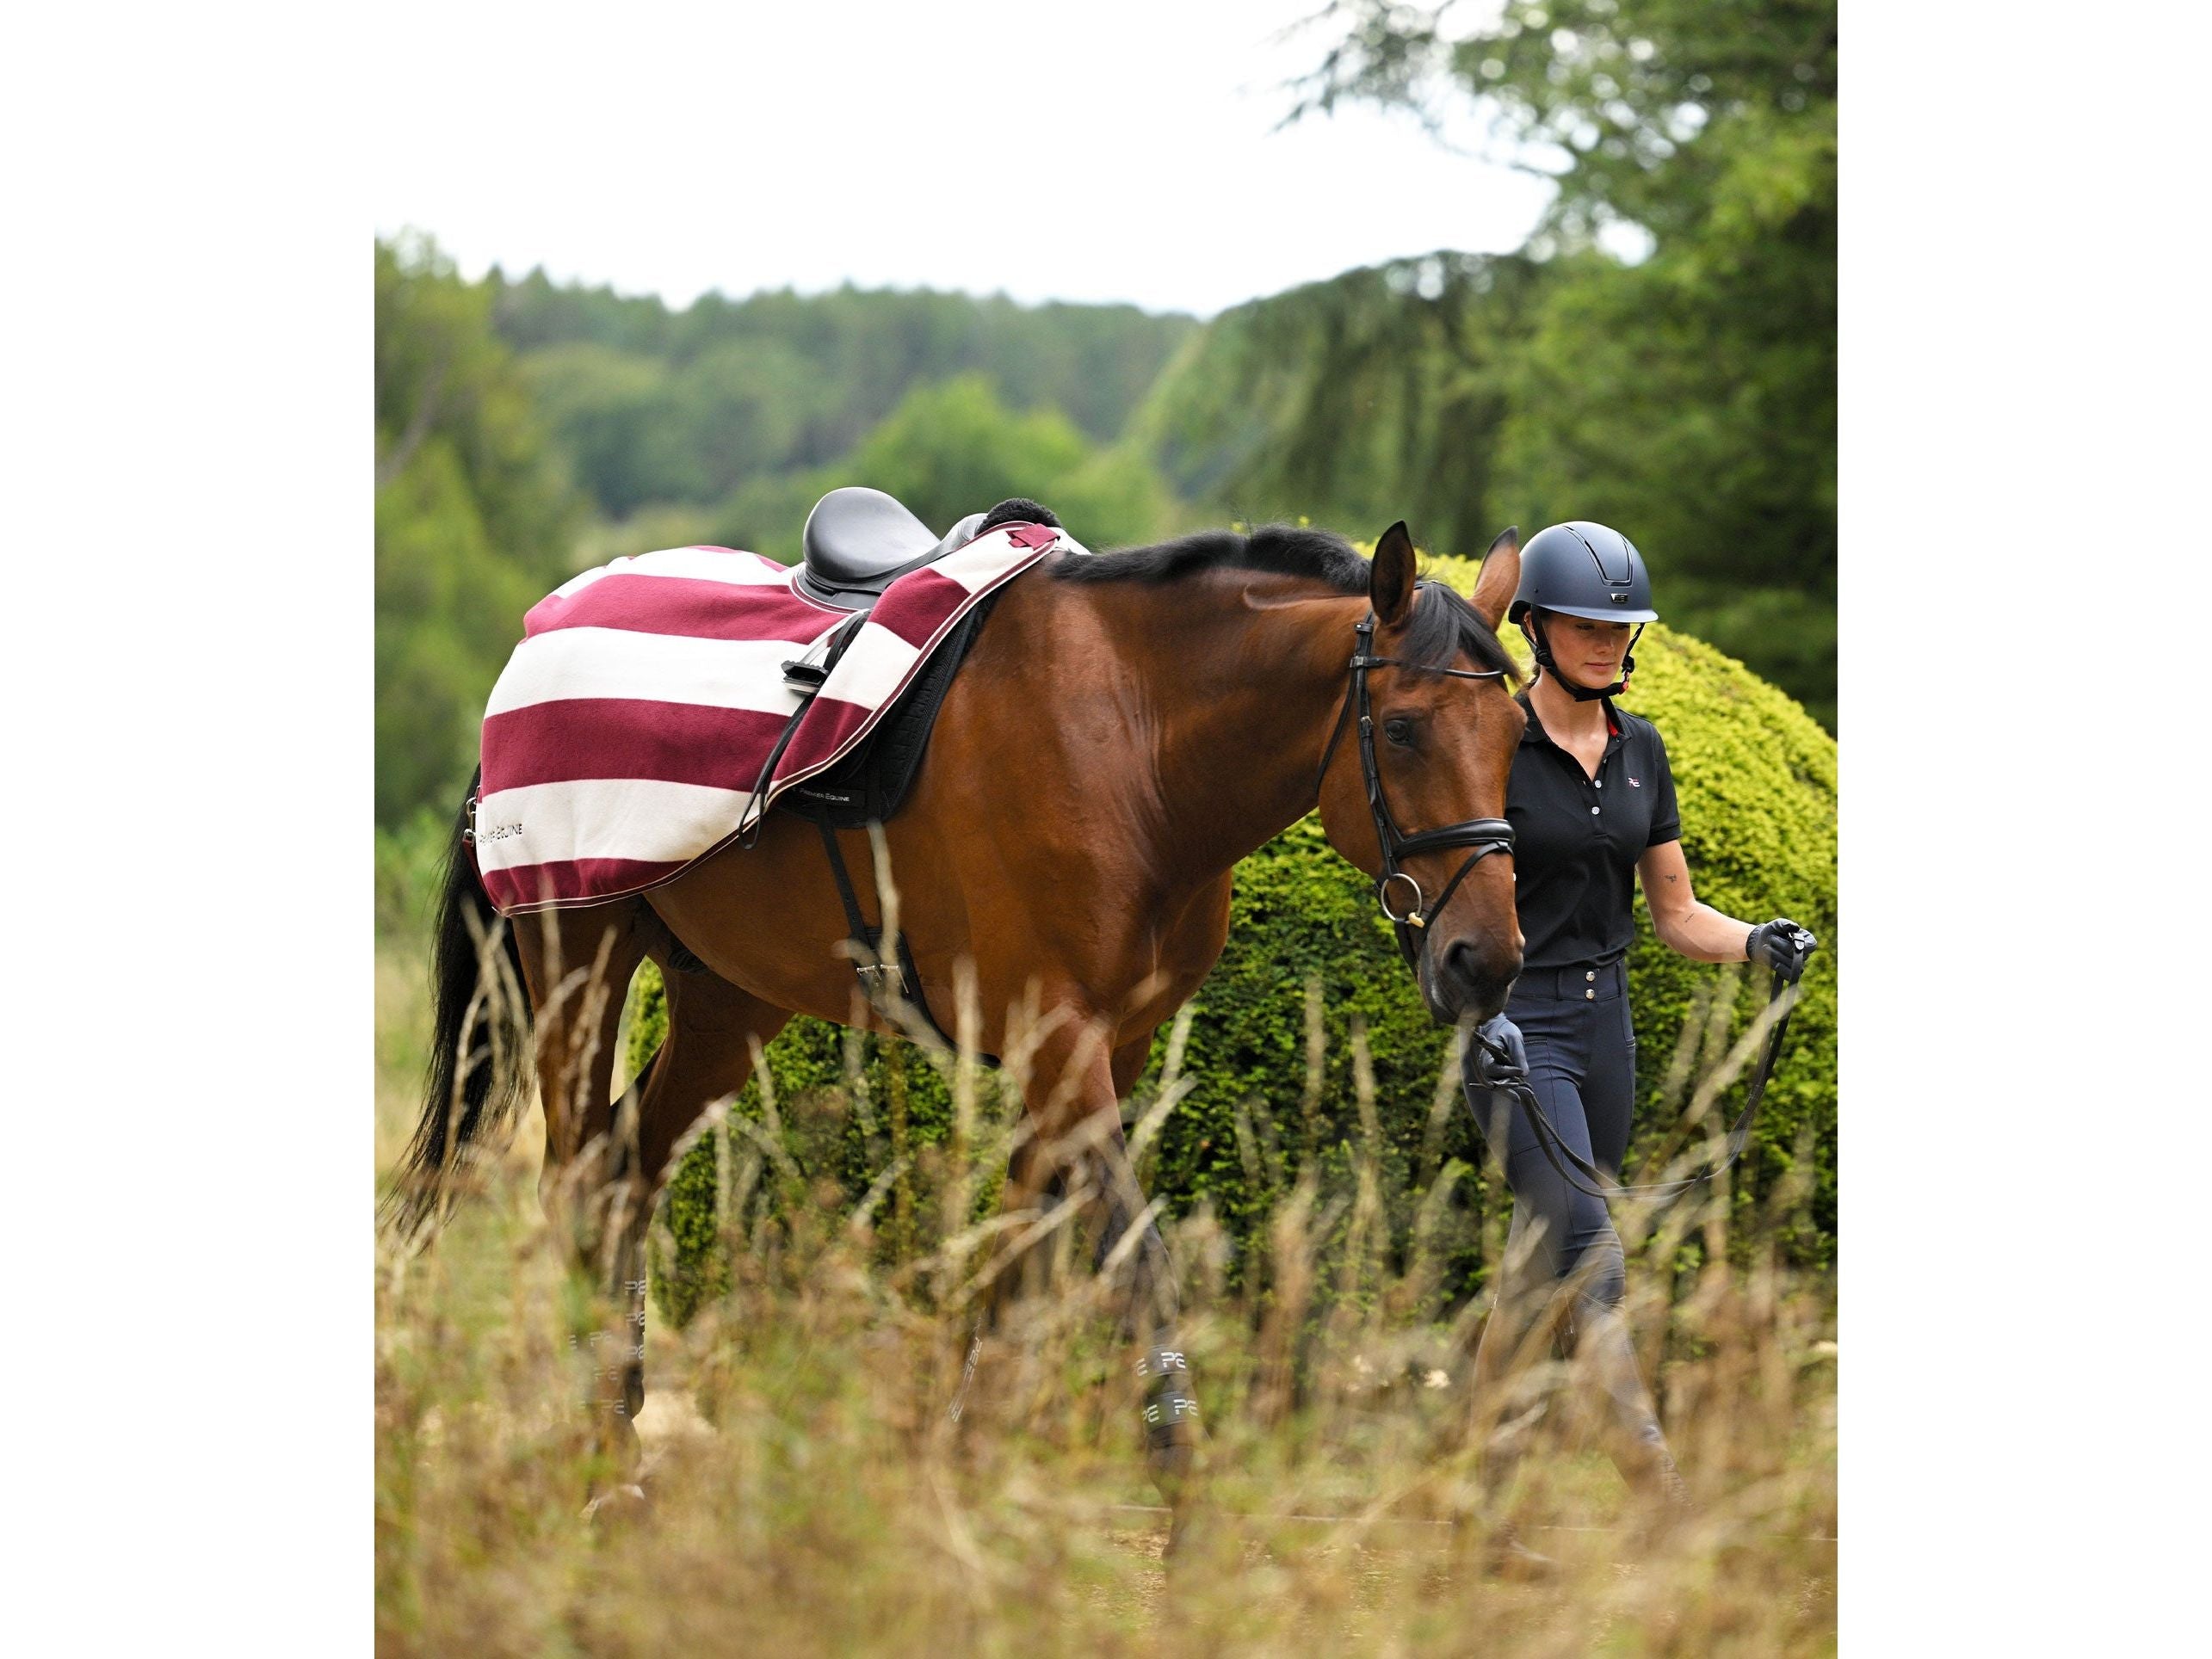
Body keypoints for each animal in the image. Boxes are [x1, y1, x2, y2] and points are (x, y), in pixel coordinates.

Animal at [384, 510, 1530, 1526]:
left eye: (1518, 733)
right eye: (1401, 728)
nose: (1486, 958)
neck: (1130, 738)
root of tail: (540, 637)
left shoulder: (1095, 1049)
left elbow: (1021, 1262)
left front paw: (964, 1468)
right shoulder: (1061, 1040)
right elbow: (1132, 1260)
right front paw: (1182, 1485)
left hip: (725, 1001)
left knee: (626, 1171)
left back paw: (615, 1428)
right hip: (573, 956)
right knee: (579, 1178)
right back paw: (590, 1458)